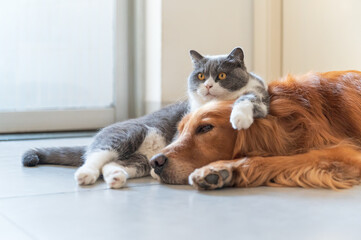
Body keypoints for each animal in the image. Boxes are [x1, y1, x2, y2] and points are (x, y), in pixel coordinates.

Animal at [21, 47, 268, 188]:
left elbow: (248, 98)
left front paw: (239, 117)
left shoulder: (261, 97)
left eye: (222, 76)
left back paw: (116, 177)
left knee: (112, 164)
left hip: (140, 161)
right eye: (200, 76)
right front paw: (238, 119)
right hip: (129, 133)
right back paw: (85, 175)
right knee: (95, 157)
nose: (207, 86)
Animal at [150, 70, 361, 190]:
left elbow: (276, 159)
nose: (155, 162)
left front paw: (223, 168)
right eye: (181, 130)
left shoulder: (347, 153)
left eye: (205, 127)